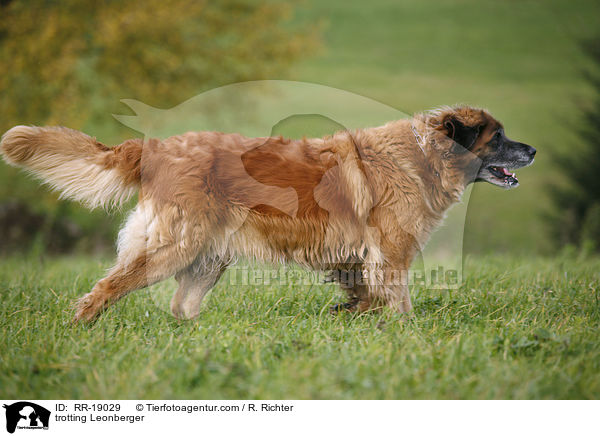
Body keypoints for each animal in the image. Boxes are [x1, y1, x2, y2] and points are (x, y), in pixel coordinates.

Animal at [0, 106, 536, 322]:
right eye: (499, 138)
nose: (531, 150)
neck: (424, 154)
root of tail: (156, 148)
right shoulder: (391, 256)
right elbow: (399, 304)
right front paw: (405, 336)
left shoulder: (360, 259)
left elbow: (364, 297)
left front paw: (348, 316)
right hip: (173, 248)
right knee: (106, 289)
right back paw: (80, 328)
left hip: (209, 257)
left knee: (181, 307)